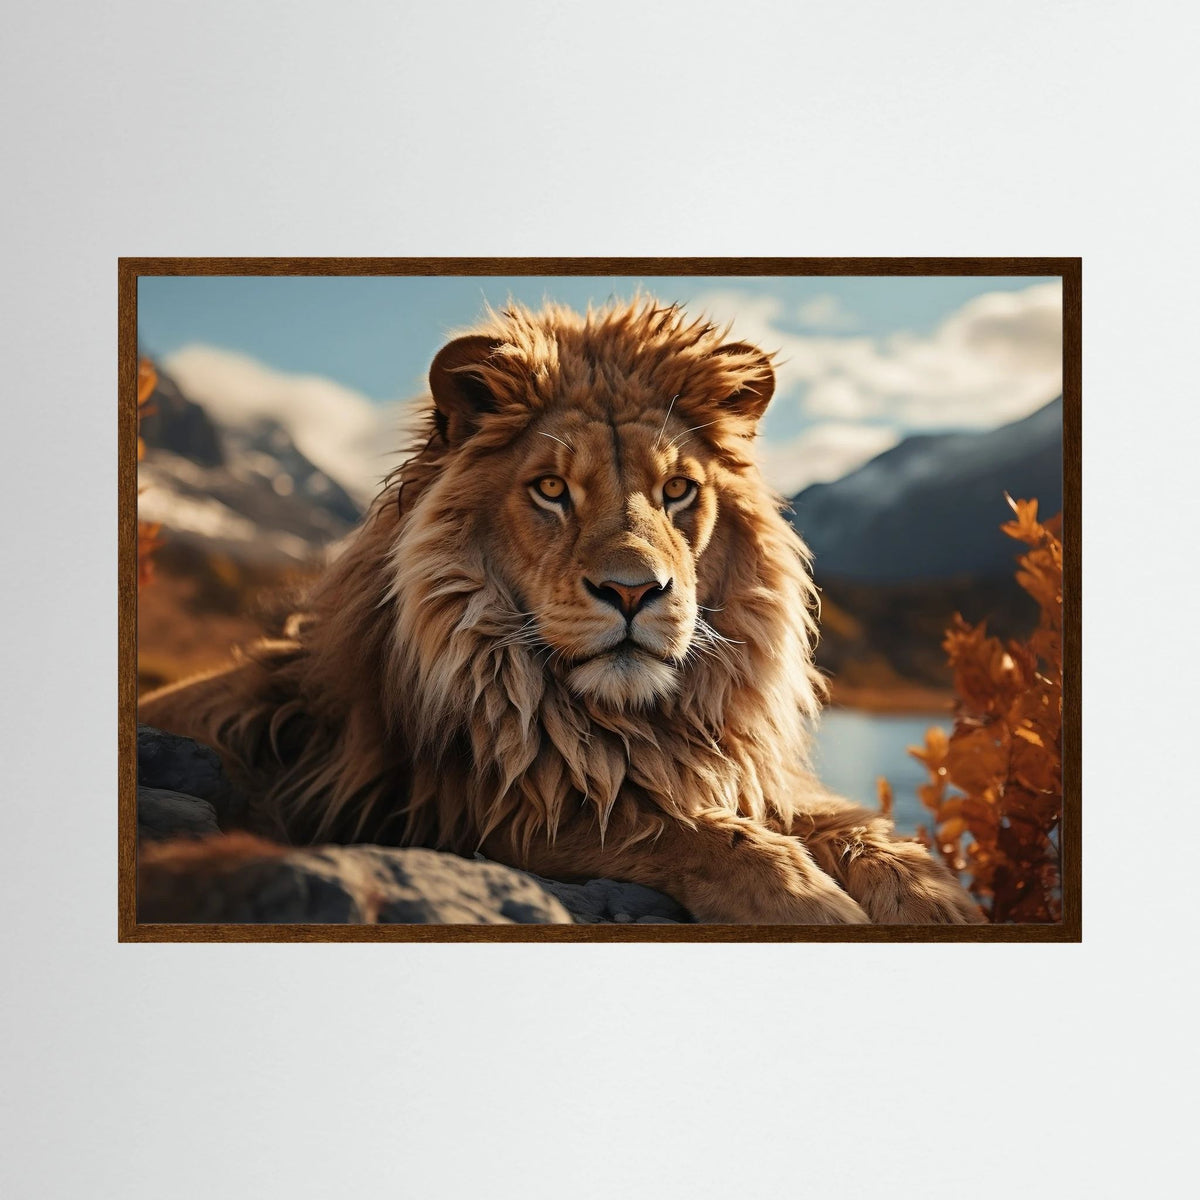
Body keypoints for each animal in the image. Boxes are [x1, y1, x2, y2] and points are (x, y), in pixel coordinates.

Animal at [140, 298, 983, 924]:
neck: (626, 721)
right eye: (551, 489)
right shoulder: (469, 809)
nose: (634, 592)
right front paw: (811, 904)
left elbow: (856, 831)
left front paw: (935, 901)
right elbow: (680, 829)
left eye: (678, 490)